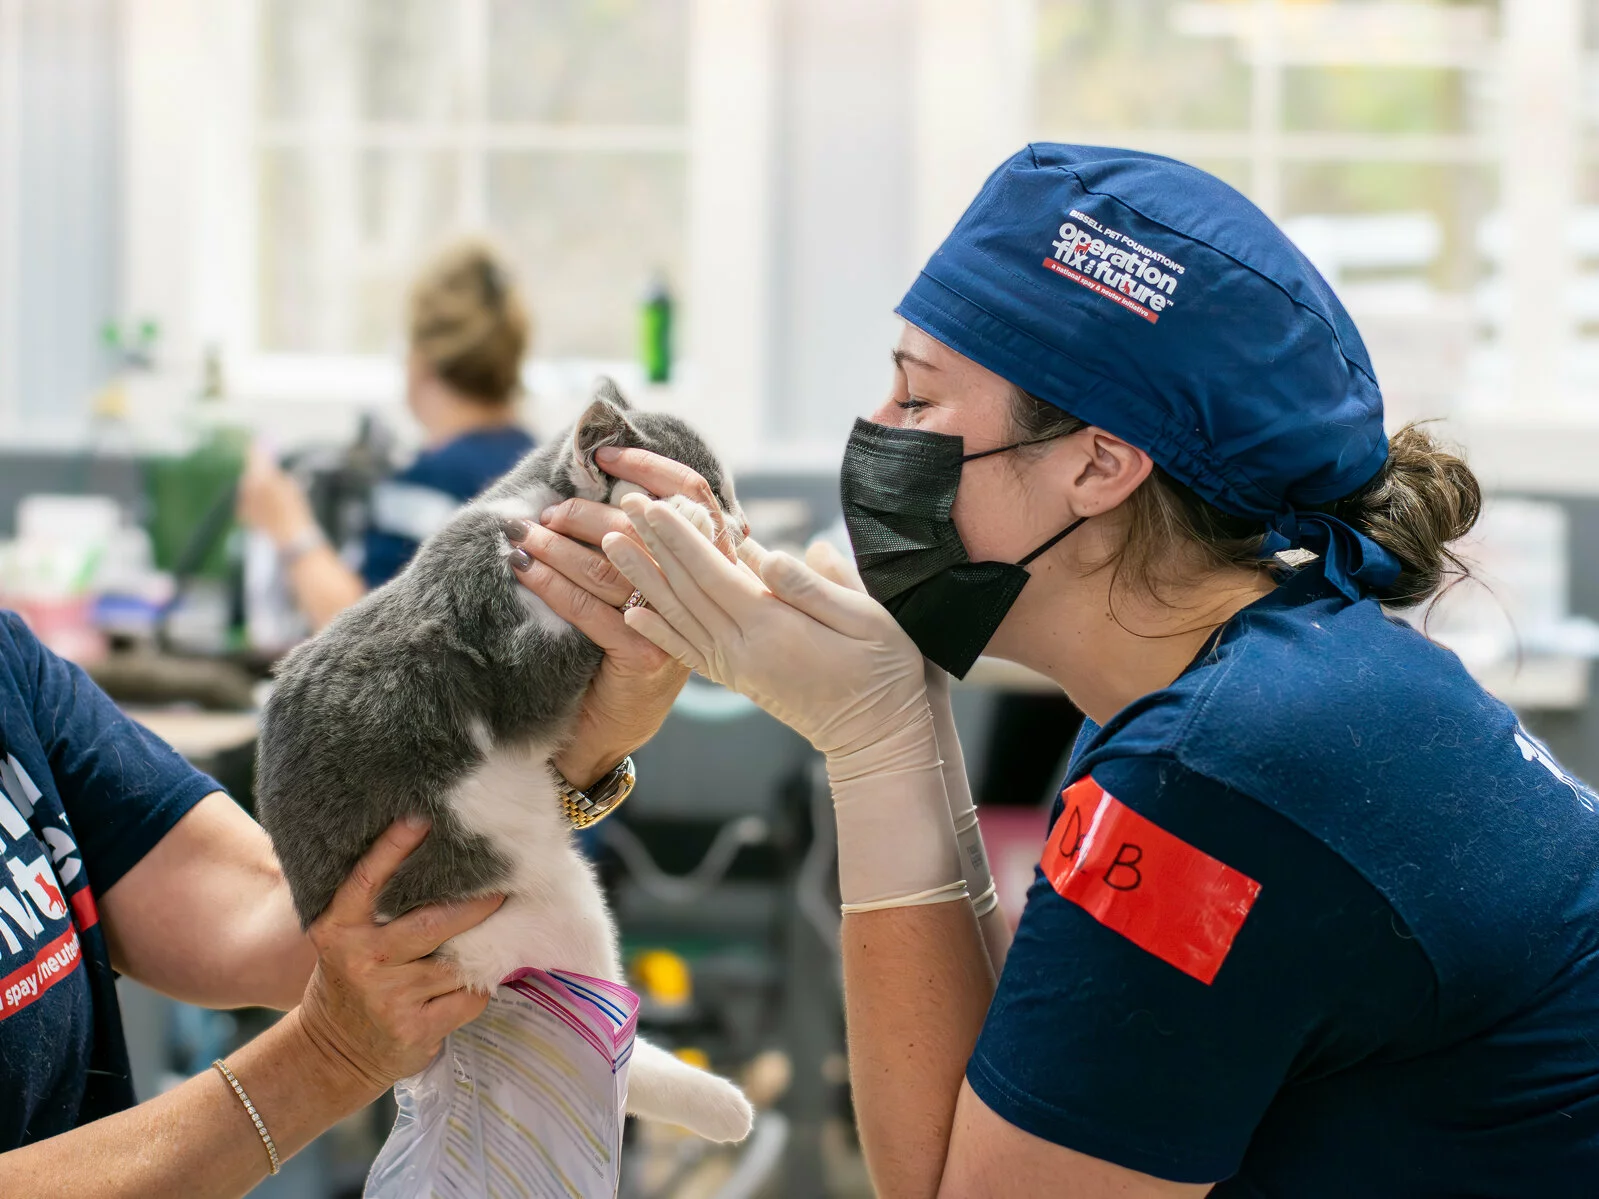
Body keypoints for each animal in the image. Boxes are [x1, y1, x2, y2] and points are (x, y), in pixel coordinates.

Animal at [259, 382, 757, 1144]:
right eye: (716, 486)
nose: (744, 527)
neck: (528, 513)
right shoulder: (496, 641)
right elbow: (544, 668)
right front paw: (675, 521)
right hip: (530, 905)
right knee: (608, 1032)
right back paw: (719, 1104)